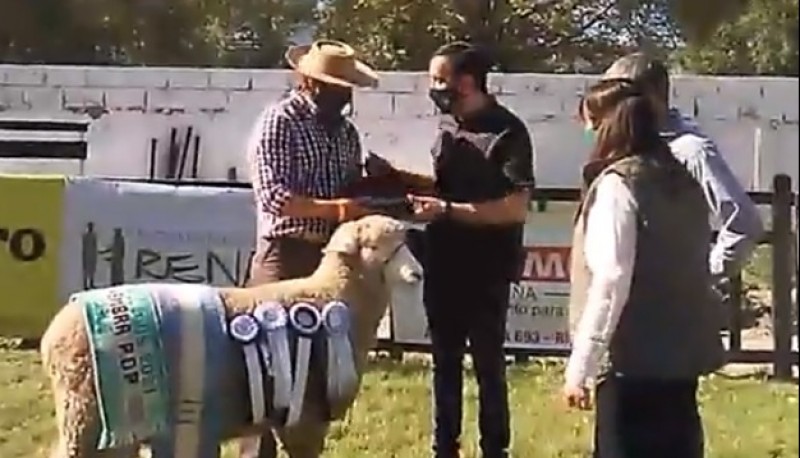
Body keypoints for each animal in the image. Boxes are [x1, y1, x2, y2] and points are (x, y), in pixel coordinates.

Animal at [41, 215, 424, 458]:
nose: (418, 273)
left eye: (406, 240)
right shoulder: (305, 415)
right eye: (374, 244)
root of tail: (54, 330)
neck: (332, 296)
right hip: (85, 411)